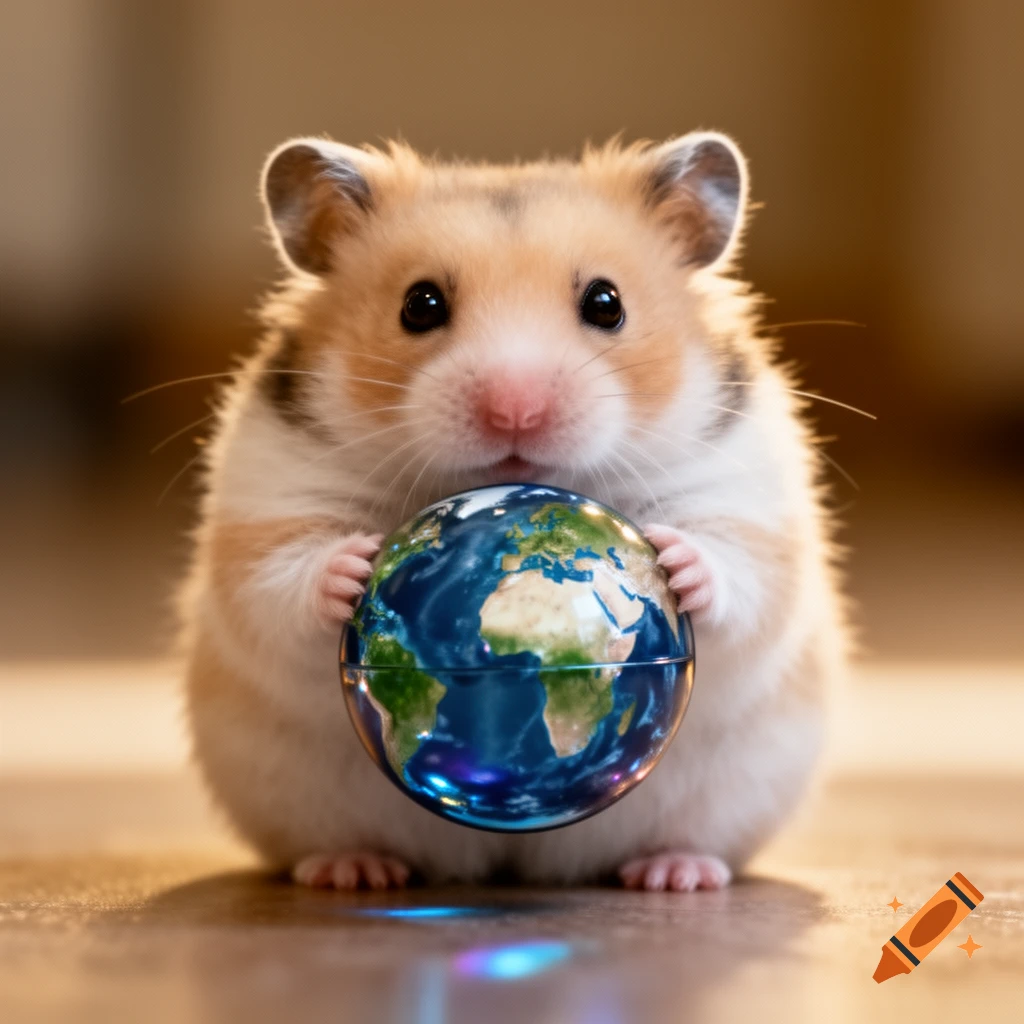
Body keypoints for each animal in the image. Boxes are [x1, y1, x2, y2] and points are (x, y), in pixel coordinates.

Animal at [180, 131, 846, 892]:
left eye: (607, 302)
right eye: (420, 304)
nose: (515, 413)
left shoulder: (747, 496)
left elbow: (745, 571)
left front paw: (677, 564)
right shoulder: (266, 499)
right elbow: (274, 579)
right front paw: (351, 570)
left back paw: (675, 874)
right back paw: (355, 871)